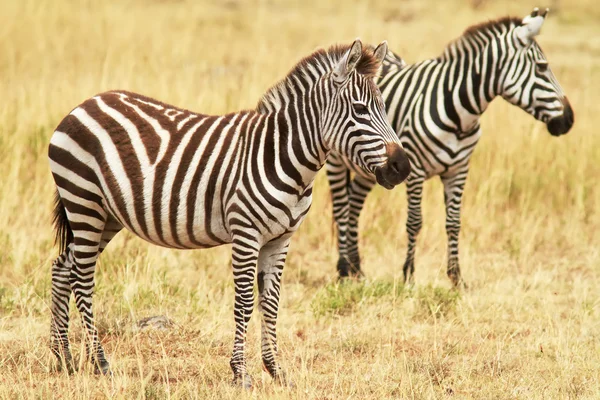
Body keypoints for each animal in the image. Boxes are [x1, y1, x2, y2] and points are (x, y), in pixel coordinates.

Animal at [49, 39, 410, 388]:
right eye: (360, 110)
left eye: (384, 108)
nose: (401, 167)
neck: (285, 157)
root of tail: (86, 104)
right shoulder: (246, 234)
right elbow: (246, 302)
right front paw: (240, 373)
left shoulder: (281, 239)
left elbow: (271, 303)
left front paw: (276, 371)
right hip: (85, 202)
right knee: (81, 278)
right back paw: (100, 362)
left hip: (106, 216)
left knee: (62, 267)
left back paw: (63, 357)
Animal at [328, 7, 576, 286]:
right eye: (543, 67)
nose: (569, 119)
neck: (460, 115)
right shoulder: (415, 170)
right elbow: (414, 221)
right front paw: (409, 275)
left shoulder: (459, 170)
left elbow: (454, 222)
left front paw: (456, 277)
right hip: (337, 161)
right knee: (341, 208)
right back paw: (343, 269)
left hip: (371, 166)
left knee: (354, 204)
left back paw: (356, 268)